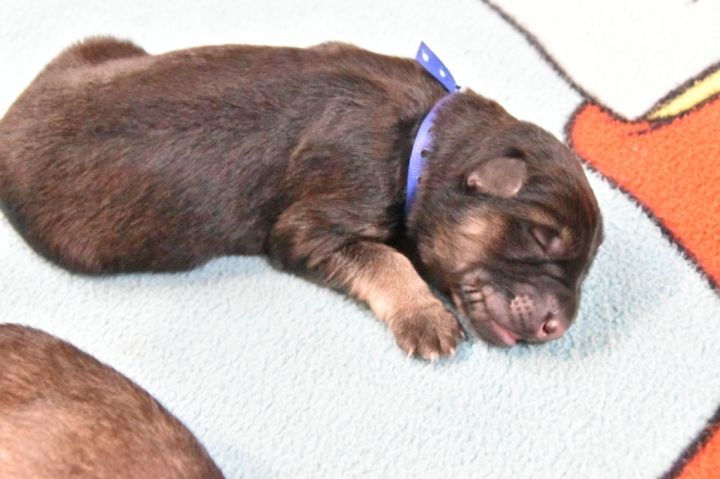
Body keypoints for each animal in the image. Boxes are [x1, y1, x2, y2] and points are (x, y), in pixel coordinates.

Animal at [0, 37, 603, 359]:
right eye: (541, 238)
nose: (558, 326)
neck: (421, 138)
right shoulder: (313, 223)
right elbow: (386, 258)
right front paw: (425, 317)